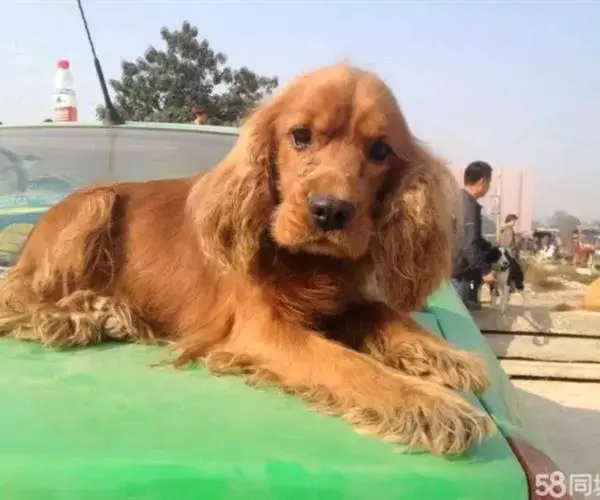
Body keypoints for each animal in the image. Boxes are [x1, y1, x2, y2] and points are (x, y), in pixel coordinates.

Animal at [0, 64, 494, 455]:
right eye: (300, 136)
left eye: (381, 151)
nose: (331, 211)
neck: (305, 262)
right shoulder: (261, 329)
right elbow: (347, 364)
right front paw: (429, 403)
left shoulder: (344, 299)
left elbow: (386, 314)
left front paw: (446, 356)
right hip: (94, 205)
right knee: (18, 296)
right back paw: (69, 317)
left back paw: (110, 312)